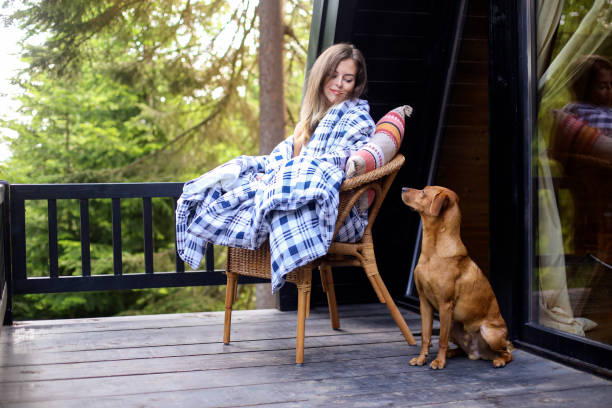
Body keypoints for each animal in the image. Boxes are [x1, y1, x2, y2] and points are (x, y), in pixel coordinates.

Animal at [400, 186, 512, 368]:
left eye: (423, 192)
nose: (402, 188)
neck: (432, 252)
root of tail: (478, 353)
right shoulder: (424, 303)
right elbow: (426, 335)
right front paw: (422, 358)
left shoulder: (445, 305)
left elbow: (441, 340)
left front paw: (439, 361)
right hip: (453, 324)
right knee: (461, 349)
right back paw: (453, 353)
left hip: (488, 332)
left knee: (508, 352)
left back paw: (499, 360)